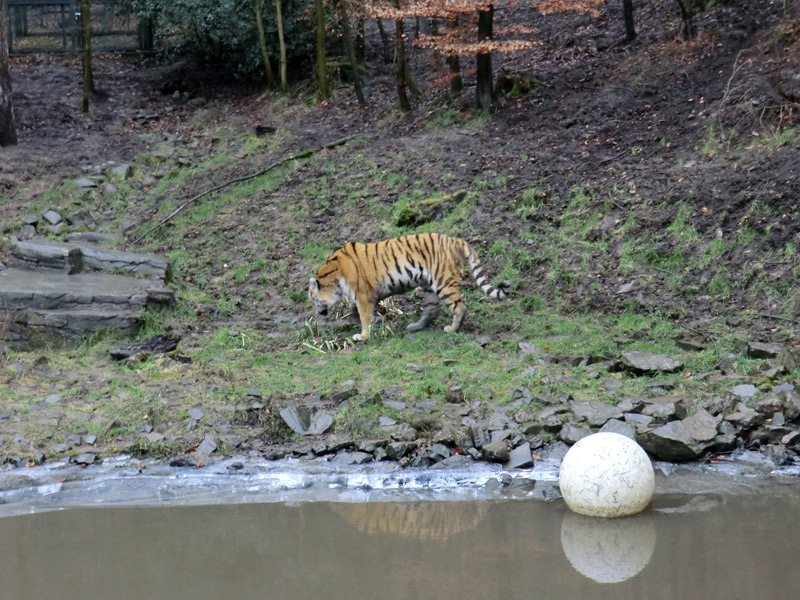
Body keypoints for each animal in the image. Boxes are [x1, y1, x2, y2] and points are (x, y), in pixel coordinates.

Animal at [310, 232, 510, 340]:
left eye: (312, 299)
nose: (316, 312)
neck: (334, 278)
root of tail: (455, 240)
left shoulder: (363, 295)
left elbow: (364, 316)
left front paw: (363, 335)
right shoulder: (366, 296)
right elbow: (364, 313)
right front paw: (372, 323)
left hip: (444, 282)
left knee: (459, 307)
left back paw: (452, 329)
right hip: (429, 286)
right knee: (431, 309)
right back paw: (415, 326)